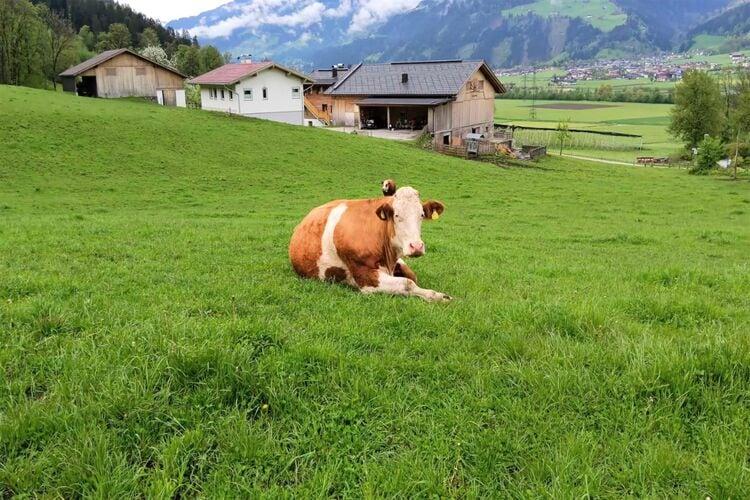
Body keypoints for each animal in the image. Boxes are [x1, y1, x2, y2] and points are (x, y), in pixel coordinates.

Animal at [289, 180, 451, 302]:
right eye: (396, 215)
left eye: (422, 215)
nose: (416, 246)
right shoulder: (365, 277)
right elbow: (408, 283)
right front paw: (438, 296)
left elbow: (412, 277)